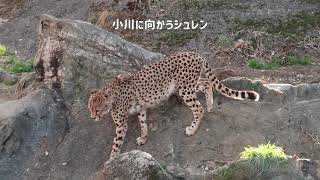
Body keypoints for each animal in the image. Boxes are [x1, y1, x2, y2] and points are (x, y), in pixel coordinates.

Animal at [87, 51, 260, 159]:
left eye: (98, 109)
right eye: (90, 109)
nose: (92, 117)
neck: (110, 95)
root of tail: (193, 53)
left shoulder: (121, 124)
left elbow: (116, 143)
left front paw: (111, 160)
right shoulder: (141, 108)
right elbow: (143, 123)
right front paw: (143, 138)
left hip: (184, 88)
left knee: (199, 108)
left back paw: (192, 129)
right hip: (188, 85)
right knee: (206, 83)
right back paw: (210, 104)